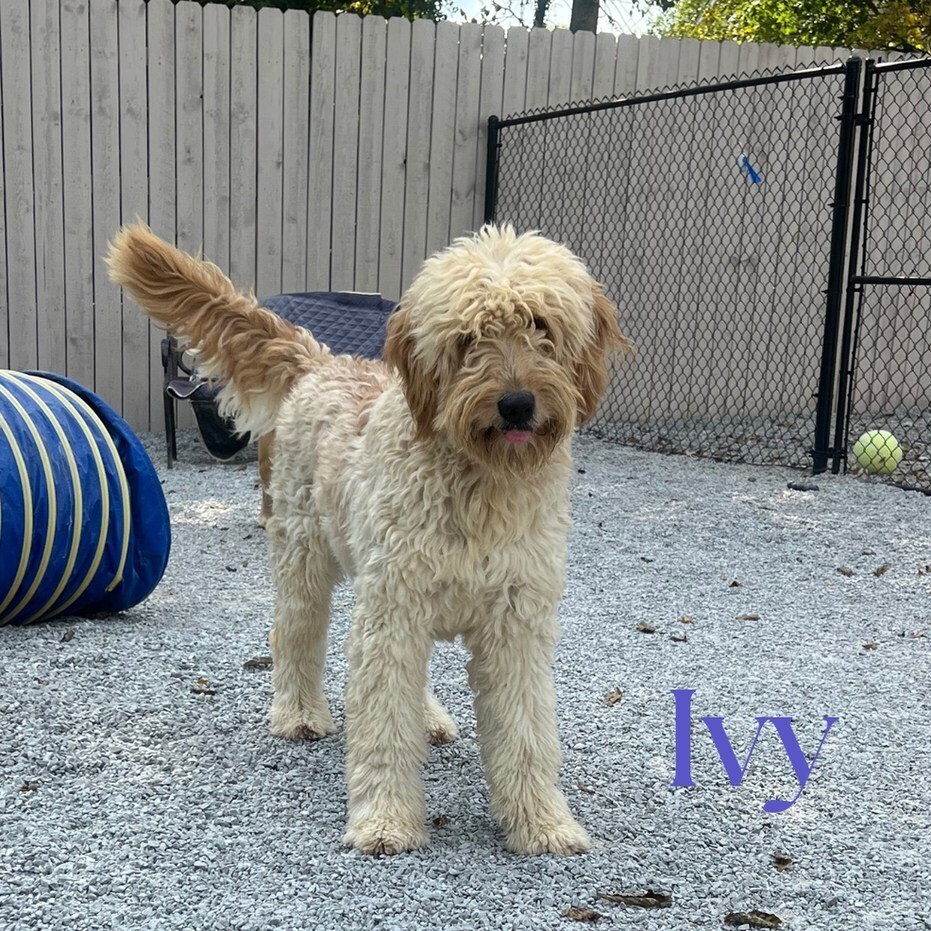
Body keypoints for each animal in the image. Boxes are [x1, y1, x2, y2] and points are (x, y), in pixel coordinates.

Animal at [109, 222, 632, 856]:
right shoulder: (393, 613)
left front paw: (542, 823)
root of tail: (322, 360)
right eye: (467, 338)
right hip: (305, 558)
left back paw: (427, 717)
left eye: (541, 326)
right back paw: (299, 713)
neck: (480, 488)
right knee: (295, 633)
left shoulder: (515, 624)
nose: (516, 403)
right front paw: (385, 821)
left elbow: (526, 731)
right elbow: (383, 726)